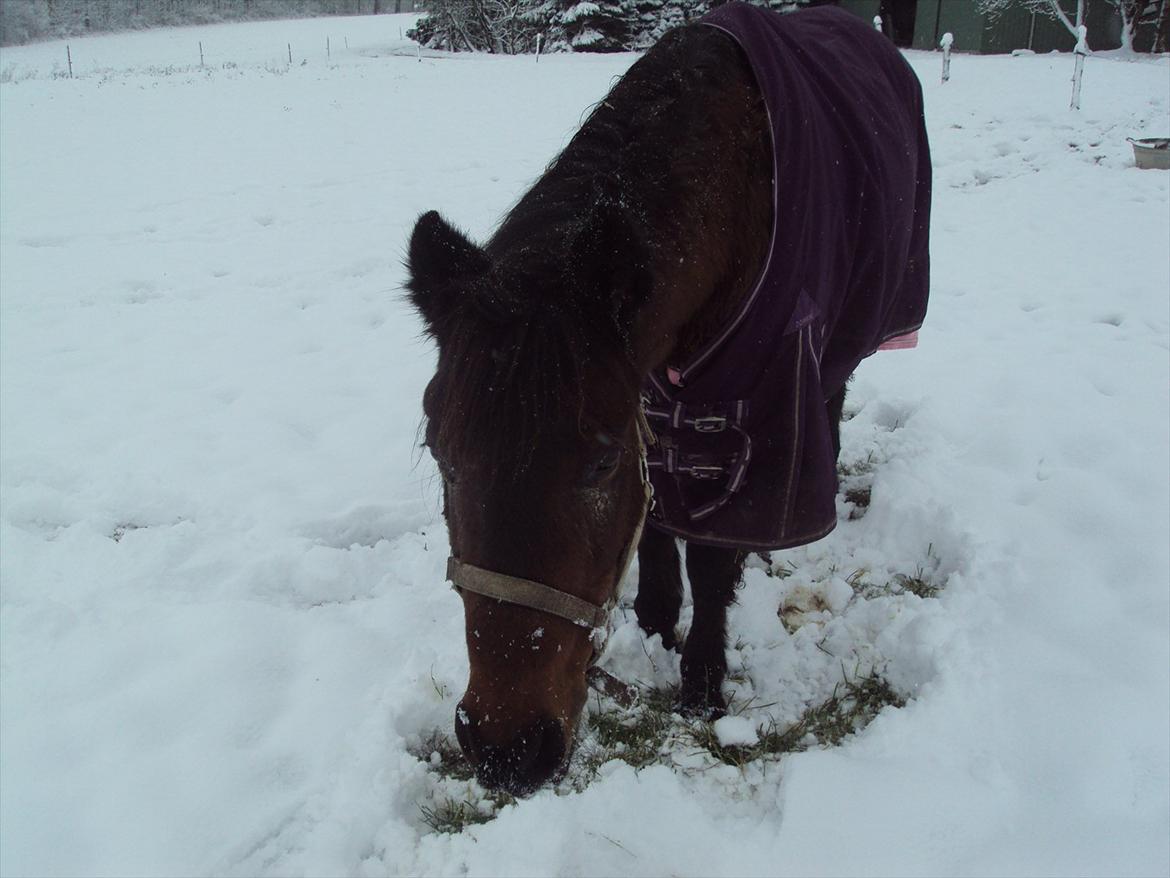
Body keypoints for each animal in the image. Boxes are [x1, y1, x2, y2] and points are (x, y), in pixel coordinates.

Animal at [406, 2, 931, 795]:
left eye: (597, 465)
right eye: (444, 455)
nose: (503, 748)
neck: (734, 206)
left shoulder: (764, 401)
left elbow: (713, 559)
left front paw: (702, 682)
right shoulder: (646, 399)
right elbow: (655, 519)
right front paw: (654, 622)